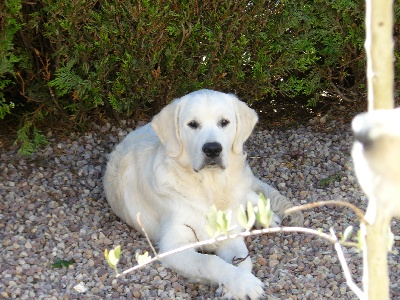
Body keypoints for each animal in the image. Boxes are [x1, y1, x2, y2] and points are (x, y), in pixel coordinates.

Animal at [103, 88, 304, 298]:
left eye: (224, 122)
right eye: (192, 124)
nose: (212, 149)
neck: (208, 187)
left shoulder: (230, 235)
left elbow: (243, 259)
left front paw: (238, 284)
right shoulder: (173, 246)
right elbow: (210, 262)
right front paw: (241, 283)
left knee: (249, 193)